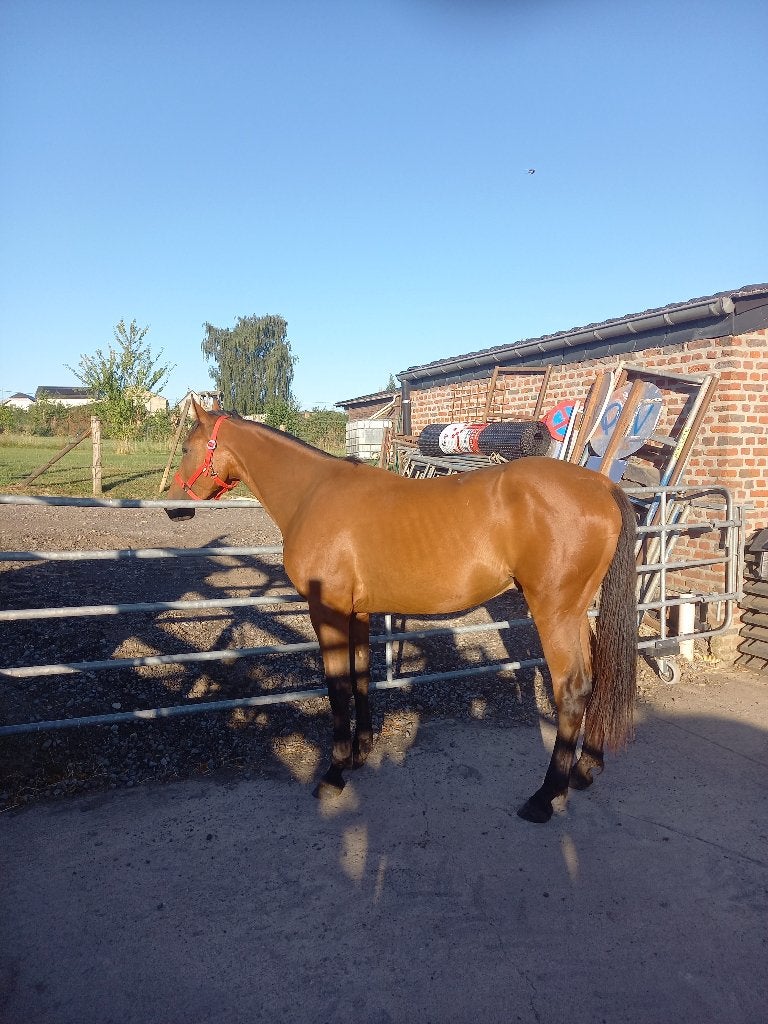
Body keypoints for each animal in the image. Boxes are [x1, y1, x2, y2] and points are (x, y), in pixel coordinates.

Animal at [166, 400, 638, 823]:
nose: (173, 506)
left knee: (572, 688)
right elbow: (360, 676)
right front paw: (361, 753)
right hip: (577, 613)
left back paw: (544, 797)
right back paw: (585, 768)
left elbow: (337, 686)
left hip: (554, 614)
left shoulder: (327, 611)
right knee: (599, 674)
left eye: (187, 446)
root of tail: (602, 487)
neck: (312, 493)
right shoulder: (356, 613)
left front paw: (333, 773)